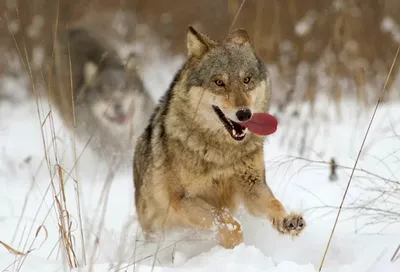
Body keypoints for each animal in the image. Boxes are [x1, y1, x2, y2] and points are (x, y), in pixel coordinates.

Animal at [133, 26, 304, 249]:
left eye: (246, 80)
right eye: (219, 82)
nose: (244, 114)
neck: (222, 153)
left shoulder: (252, 186)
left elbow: (273, 202)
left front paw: (287, 221)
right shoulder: (182, 199)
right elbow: (227, 222)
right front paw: (235, 246)